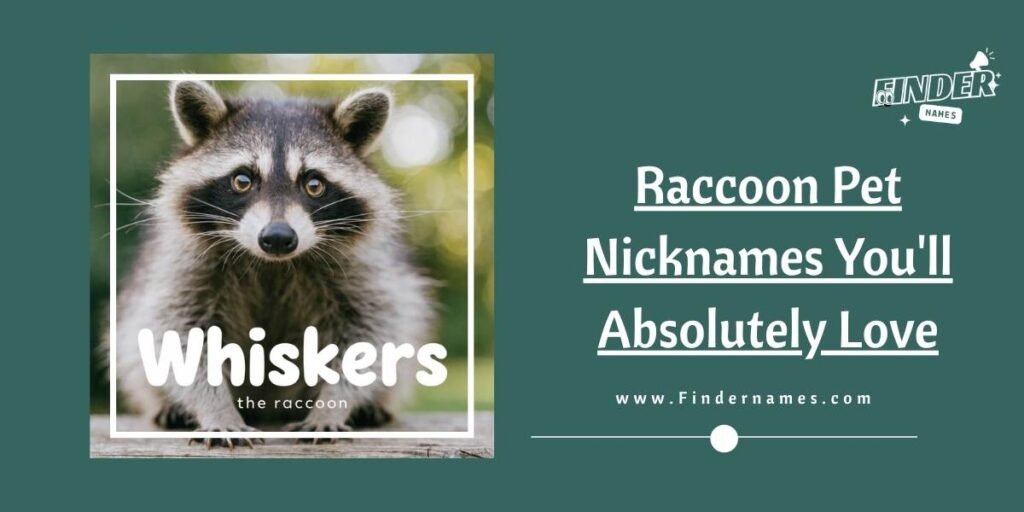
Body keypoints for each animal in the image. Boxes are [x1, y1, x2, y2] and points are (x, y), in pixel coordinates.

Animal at [110, 80, 434, 446]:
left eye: (314, 184)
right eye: (242, 180)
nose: (278, 237)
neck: (274, 264)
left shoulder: (363, 269)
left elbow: (373, 334)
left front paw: (331, 406)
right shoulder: (183, 266)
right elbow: (174, 334)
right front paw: (216, 410)